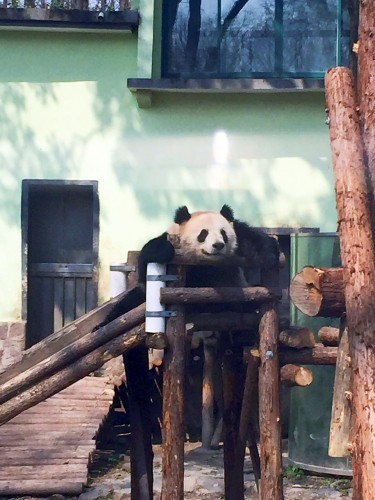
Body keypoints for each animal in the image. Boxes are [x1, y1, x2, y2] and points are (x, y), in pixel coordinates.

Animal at [95, 205, 280, 330]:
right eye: (203, 233)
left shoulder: (239, 238)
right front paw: (161, 251)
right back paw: (100, 326)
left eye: (223, 233)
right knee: (127, 304)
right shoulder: (171, 241)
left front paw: (268, 256)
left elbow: (253, 237)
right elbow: (147, 270)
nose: (218, 245)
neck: (206, 264)